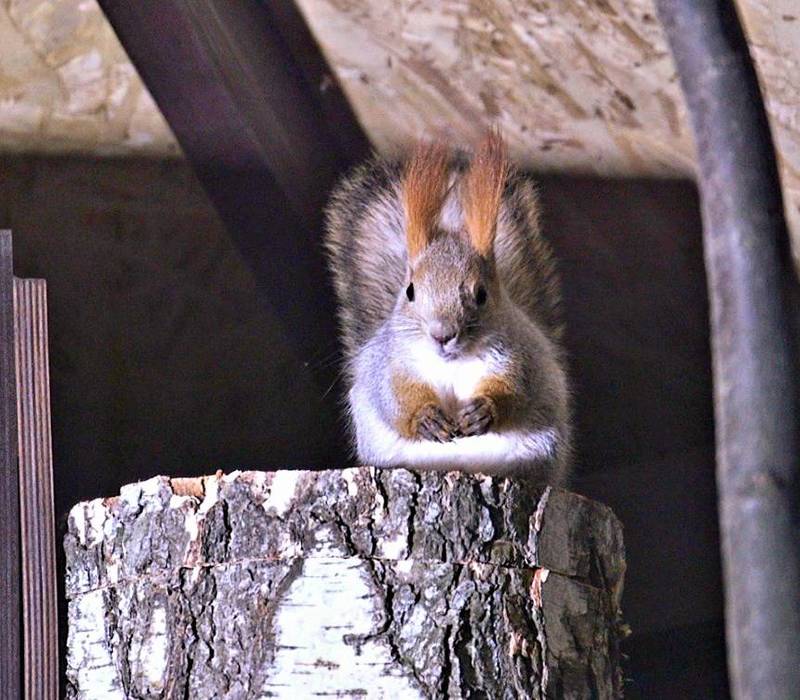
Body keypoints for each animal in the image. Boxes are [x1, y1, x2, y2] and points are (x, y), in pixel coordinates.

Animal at [322, 131, 572, 484]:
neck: (450, 364)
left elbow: (515, 392)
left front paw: (484, 409)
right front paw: (425, 418)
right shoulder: (390, 364)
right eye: (410, 291)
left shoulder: (519, 358)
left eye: (481, 294)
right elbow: (394, 397)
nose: (442, 335)